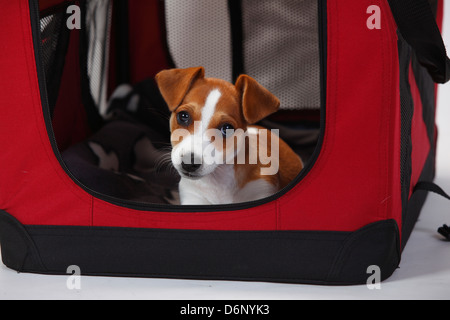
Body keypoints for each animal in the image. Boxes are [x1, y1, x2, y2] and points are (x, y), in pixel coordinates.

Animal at [154, 67, 302, 205]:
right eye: (183, 116)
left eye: (227, 128)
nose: (189, 163)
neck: (218, 180)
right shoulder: (193, 198)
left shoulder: (262, 190)